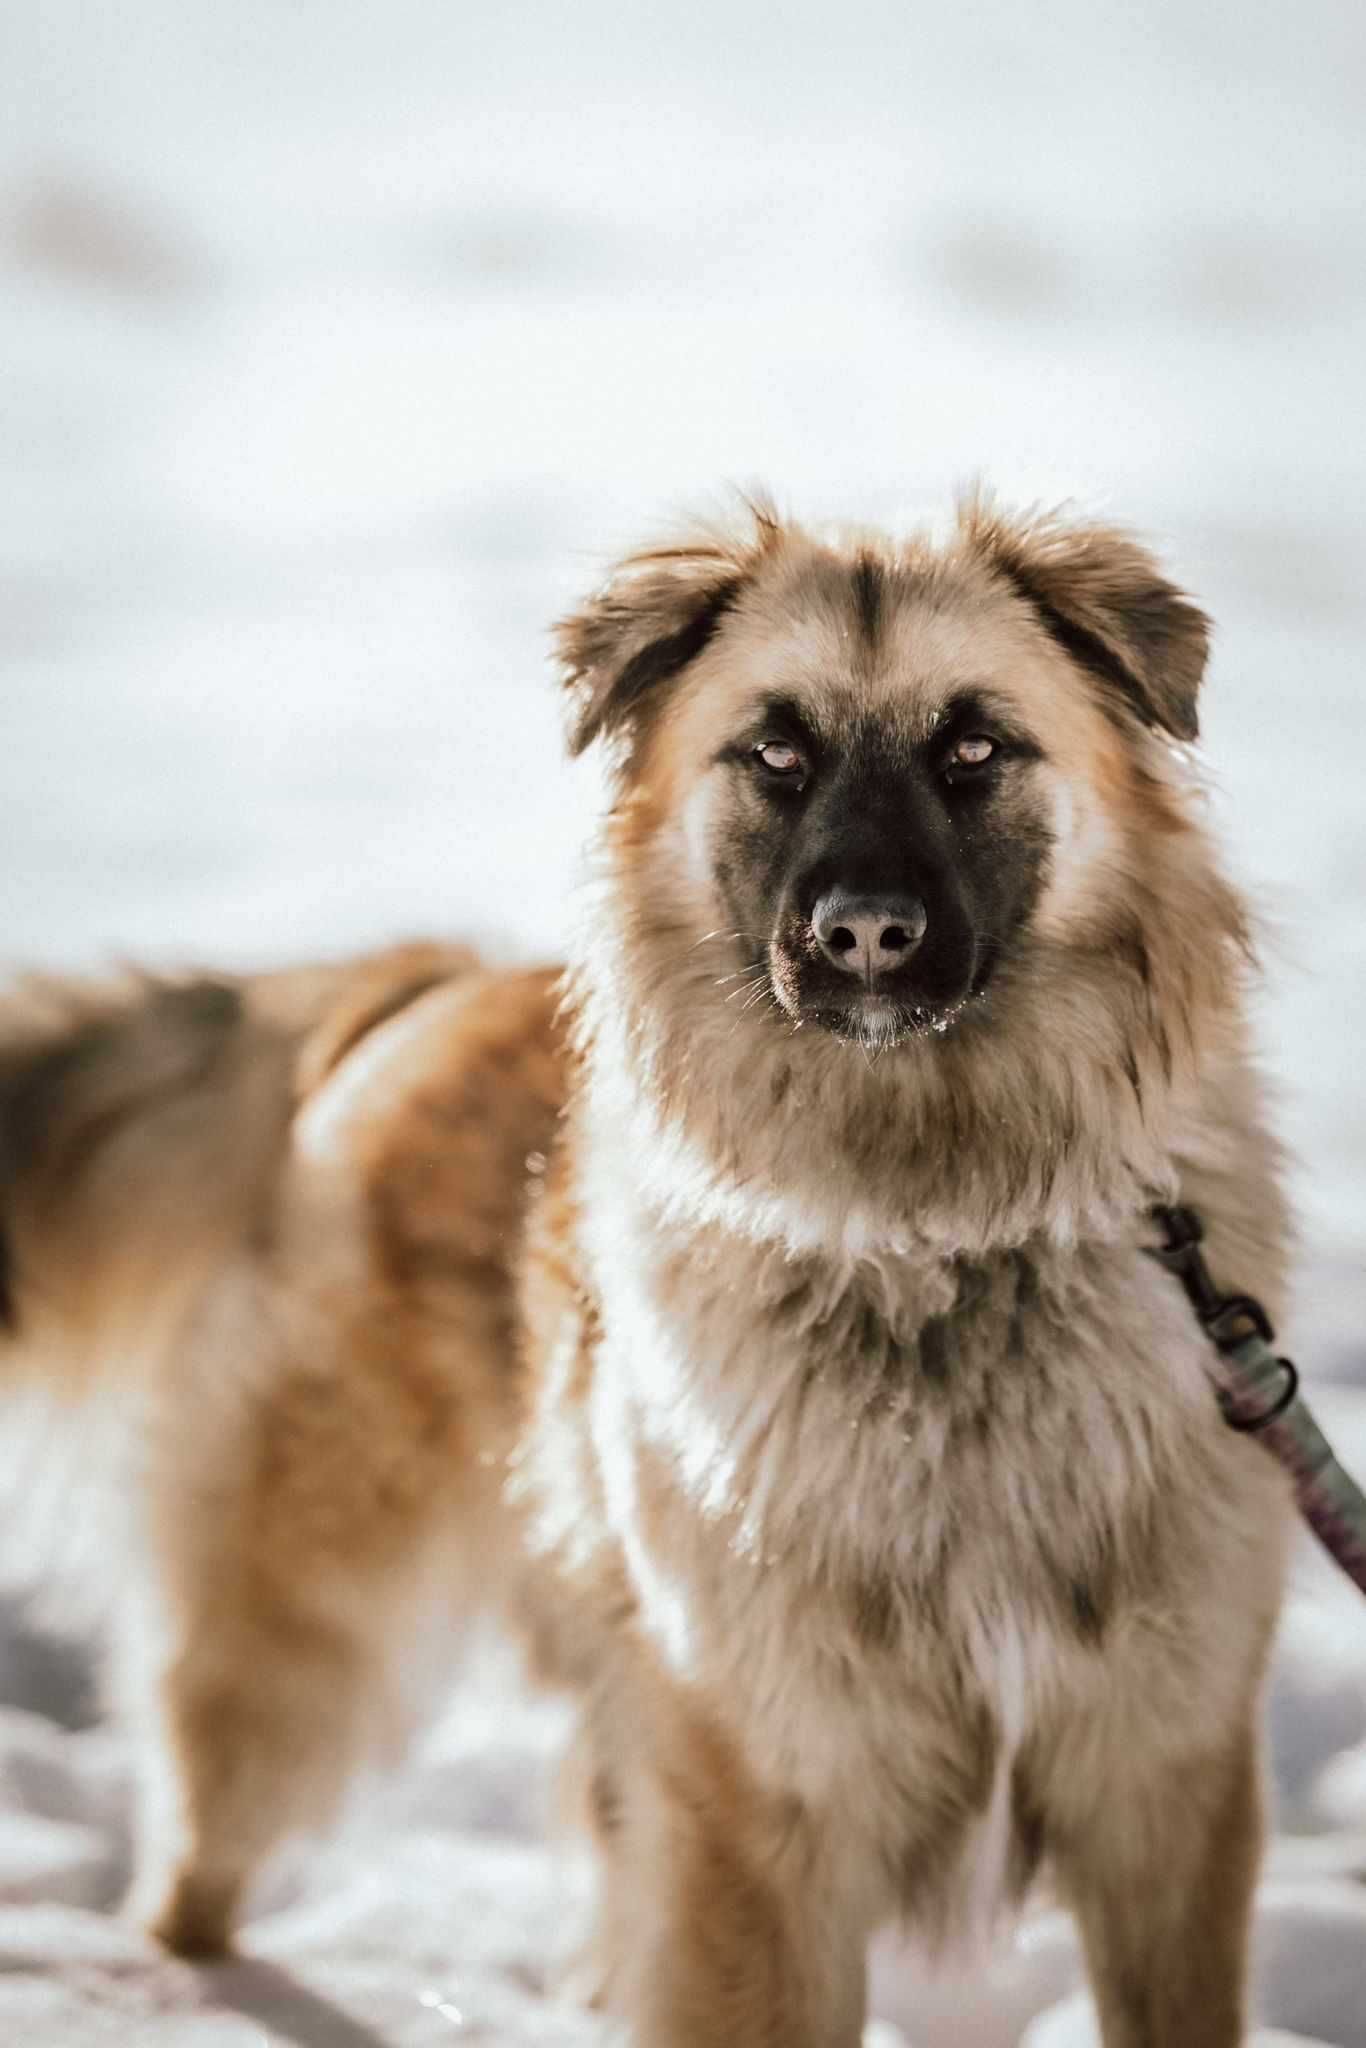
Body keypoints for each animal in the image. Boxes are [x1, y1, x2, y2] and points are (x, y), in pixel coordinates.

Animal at [2, 499, 1294, 2048]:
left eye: (975, 747)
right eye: (776, 753)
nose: (864, 931)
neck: (931, 1239)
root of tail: (426, 985)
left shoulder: (1165, 1784)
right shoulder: (762, 1799)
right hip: (291, 1638)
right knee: (201, 1851)